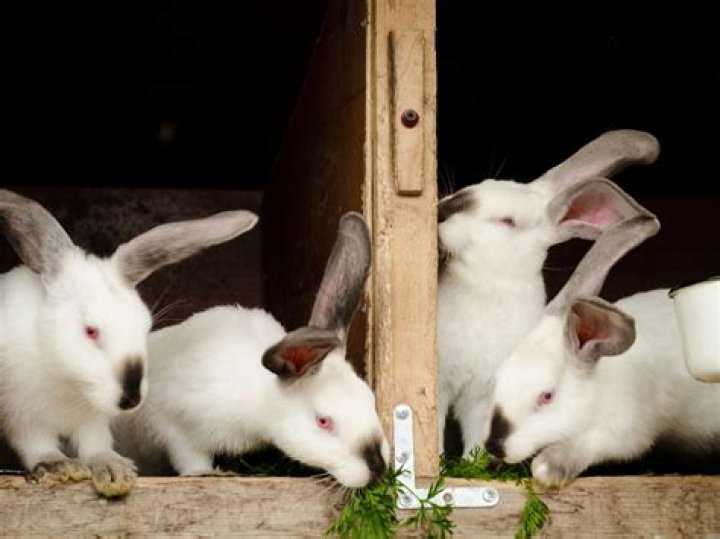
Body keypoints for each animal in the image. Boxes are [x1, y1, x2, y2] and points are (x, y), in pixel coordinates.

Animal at [0, 189, 258, 497]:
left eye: (144, 327)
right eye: (91, 331)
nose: (131, 398)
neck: (65, 379)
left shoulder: (92, 419)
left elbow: (95, 444)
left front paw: (113, 469)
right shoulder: (22, 416)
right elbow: (37, 445)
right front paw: (59, 466)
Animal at [112, 212, 390, 488]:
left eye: (370, 399)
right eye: (323, 421)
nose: (378, 467)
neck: (257, 396)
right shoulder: (172, 424)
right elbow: (189, 458)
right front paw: (210, 473)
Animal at [437, 129, 661, 455]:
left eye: (507, 221)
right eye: (479, 183)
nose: (441, 211)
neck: (489, 283)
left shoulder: (482, 397)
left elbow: (476, 437)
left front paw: (468, 462)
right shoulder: (439, 382)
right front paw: (438, 461)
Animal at [483, 199, 720, 487]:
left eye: (547, 396)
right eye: (499, 377)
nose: (494, 447)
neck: (599, 389)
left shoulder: (623, 430)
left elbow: (590, 443)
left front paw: (548, 468)